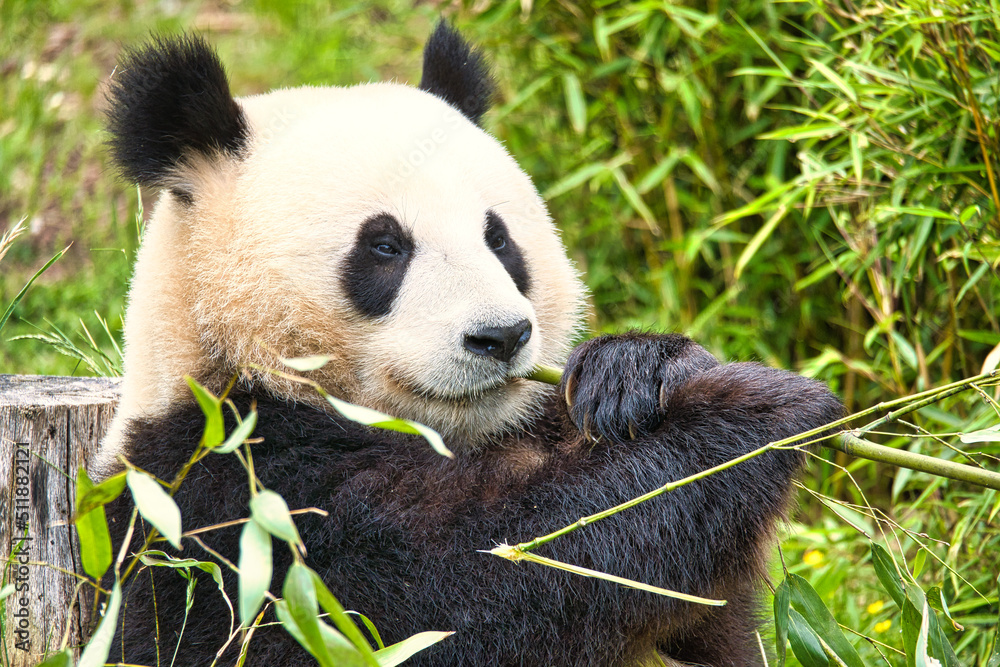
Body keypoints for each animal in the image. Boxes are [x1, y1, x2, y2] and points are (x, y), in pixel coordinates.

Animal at [94, 24, 842, 667]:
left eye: (498, 237)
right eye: (385, 245)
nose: (501, 337)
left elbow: (705, 614)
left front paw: (633, 371)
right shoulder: (237, 493)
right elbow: (475, 587)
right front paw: (761, 411)